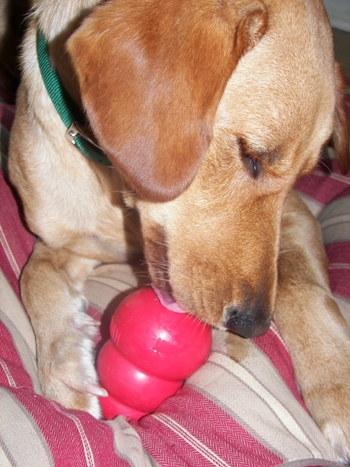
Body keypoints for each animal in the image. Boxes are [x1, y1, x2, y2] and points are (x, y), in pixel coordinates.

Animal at [6, 0, 350, 460]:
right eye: (252, 156)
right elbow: (34, 278)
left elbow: (303, 285)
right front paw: (65, 367)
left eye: (304, 175)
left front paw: (337, 386)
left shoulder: (296, 213)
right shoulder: (61, 243)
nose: (253, 326)